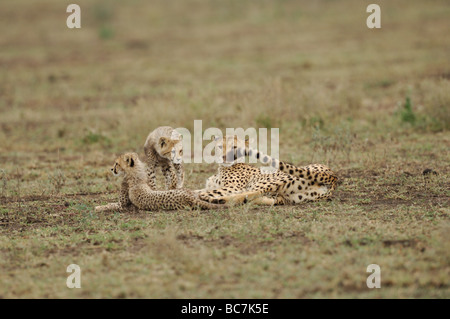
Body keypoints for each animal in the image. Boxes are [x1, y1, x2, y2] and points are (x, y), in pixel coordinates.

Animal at [197, 136, 338, 206]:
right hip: (289, 196)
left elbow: (206, 191)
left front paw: (203, 196)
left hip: (265, 181)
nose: (225, 157)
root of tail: (332, 175)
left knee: (249, 193)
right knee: (257, 198)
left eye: (235, 147)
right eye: (220, 147)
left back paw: (216, 199)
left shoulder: (233, 186)